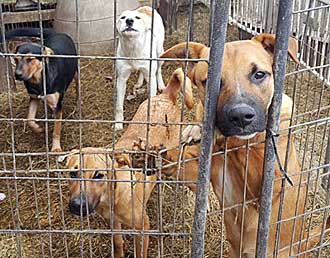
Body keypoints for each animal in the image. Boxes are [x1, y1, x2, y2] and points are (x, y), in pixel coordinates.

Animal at [158, 33, 330, 256]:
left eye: (259, 74)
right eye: (210, 82)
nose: (240, 117)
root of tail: (301, 242)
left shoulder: (269, 183)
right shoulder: (200, 172)